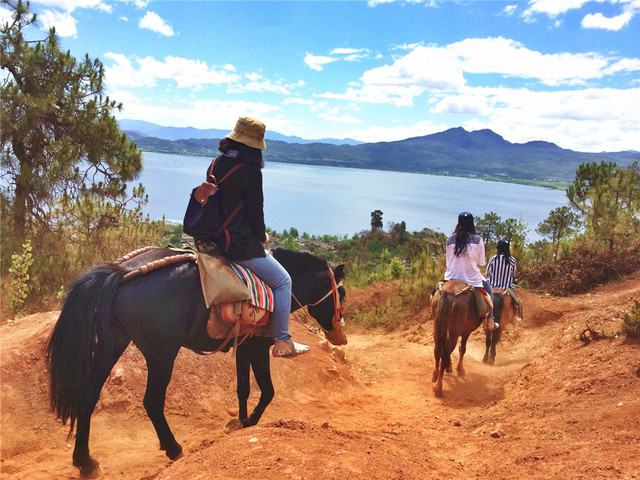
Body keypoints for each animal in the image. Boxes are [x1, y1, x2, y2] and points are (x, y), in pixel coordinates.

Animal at [47, 246, 348, 478]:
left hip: (112, 345)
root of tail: (121, 273)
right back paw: (173, 448)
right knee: (152, 401)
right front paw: (250, 422)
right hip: (161, 352)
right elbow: (268, 390)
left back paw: (85, 462)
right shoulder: (260, 346)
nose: (341, 336)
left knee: (88, 396)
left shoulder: (244, 345)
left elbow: (243, 388)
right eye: (341, 295)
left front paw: (238, 422)